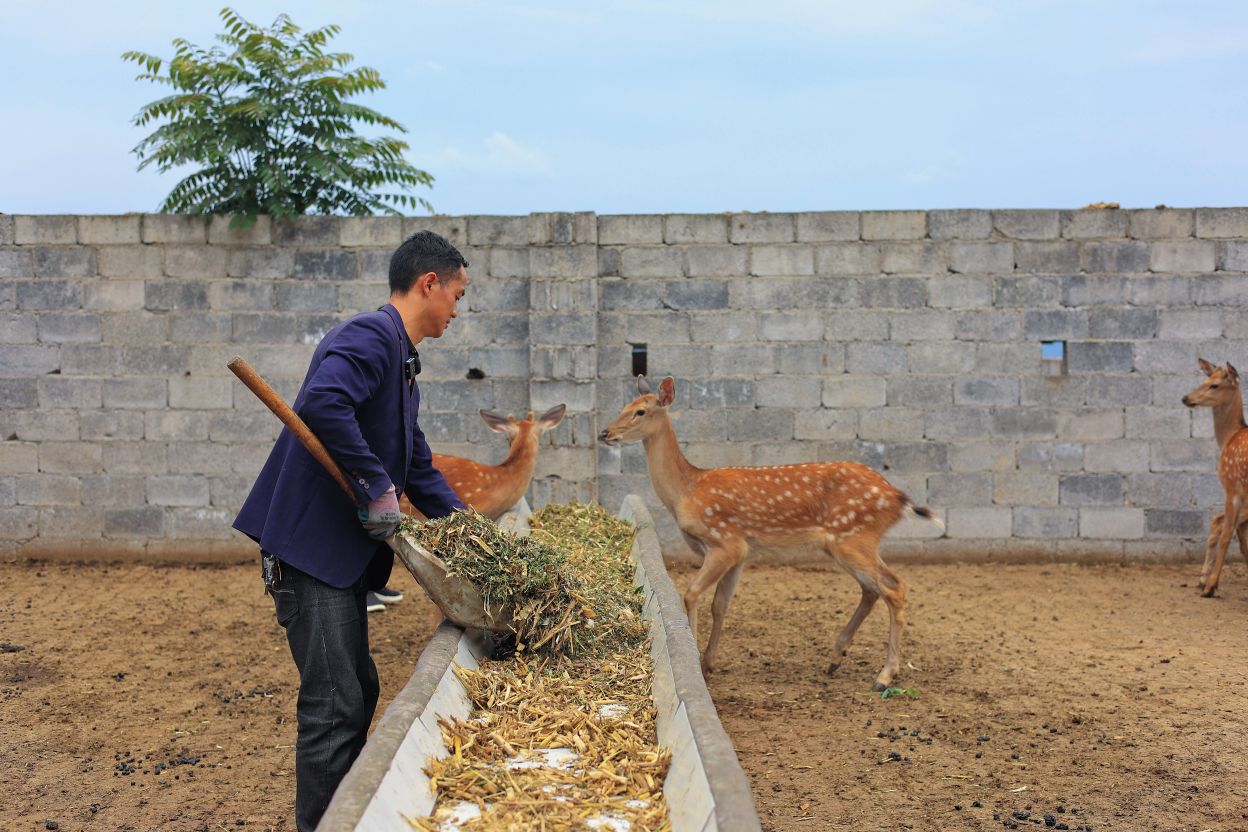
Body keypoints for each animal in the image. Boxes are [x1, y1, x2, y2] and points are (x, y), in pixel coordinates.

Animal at [599, 376, 938, 688]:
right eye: (624, 405)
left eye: (640, 411)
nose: (605, 433)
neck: (686, 490)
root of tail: (898, 498)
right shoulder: (741, 553)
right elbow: (720, 605)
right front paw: (708, 663)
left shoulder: (725, 542)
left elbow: (692, 593)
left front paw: (696, 662)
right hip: (844, 543)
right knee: (872, 589)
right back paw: (835, 658)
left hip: (854, 537)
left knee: (894, 586)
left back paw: (885, 675)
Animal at [1178, 361, 1248, 596]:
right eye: (1204, 379)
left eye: (1215, 385)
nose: (1186, 398)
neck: (1229, 437)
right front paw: (1207, 581)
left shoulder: (1231, 487)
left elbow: (1227, 533)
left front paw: (1210, 586)